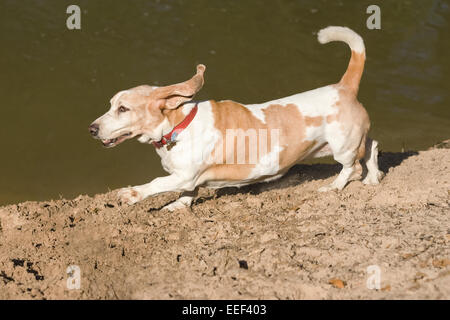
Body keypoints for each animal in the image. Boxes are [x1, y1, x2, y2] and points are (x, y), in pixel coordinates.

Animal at [90, 26, 384, 211]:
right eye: (111, 105)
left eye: (123, 109)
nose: (92, 129)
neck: (179, 125)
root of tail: (344, 87)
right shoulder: (187, 180)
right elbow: (188, 194)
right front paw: (177, 207)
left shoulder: (184, 175)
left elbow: (156, 184)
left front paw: (131, 194)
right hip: (343, 143)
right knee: (372, 146)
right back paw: (373, 178)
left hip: (341, 147)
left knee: (351, 168)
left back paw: (333, 187)